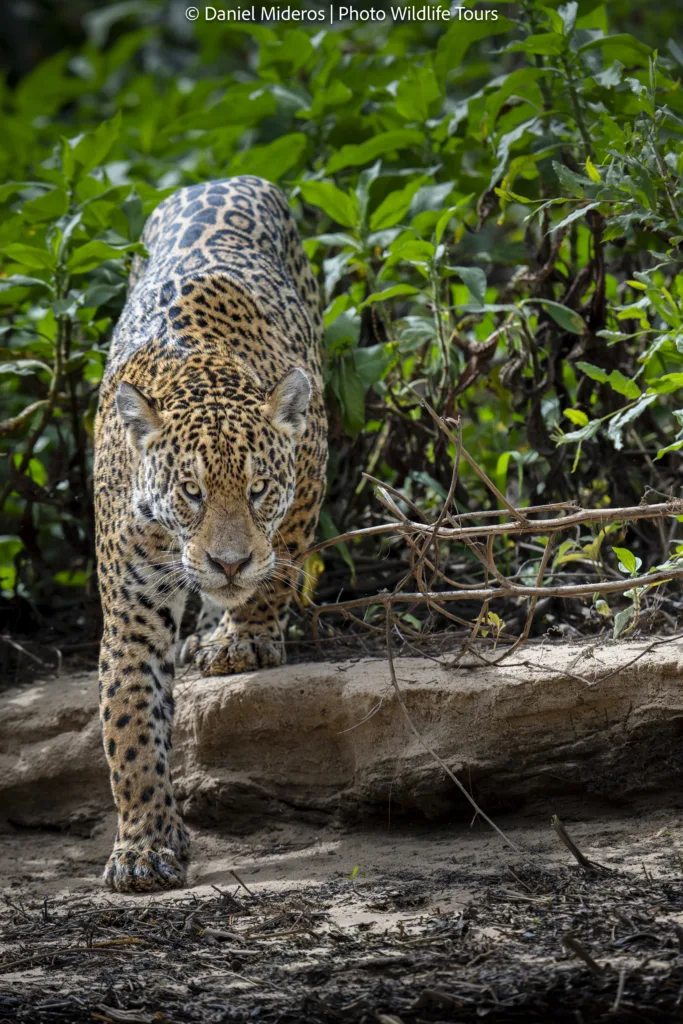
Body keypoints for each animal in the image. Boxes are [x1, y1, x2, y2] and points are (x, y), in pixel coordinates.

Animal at [94, 176, 328, 893]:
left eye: (258, 490)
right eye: (191, 493)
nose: (228, 563)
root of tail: (218, 179)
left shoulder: (308, 469)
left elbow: (280, 566)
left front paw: (244, 640)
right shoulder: (133, 606)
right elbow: (130, 718)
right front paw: (144, 846)